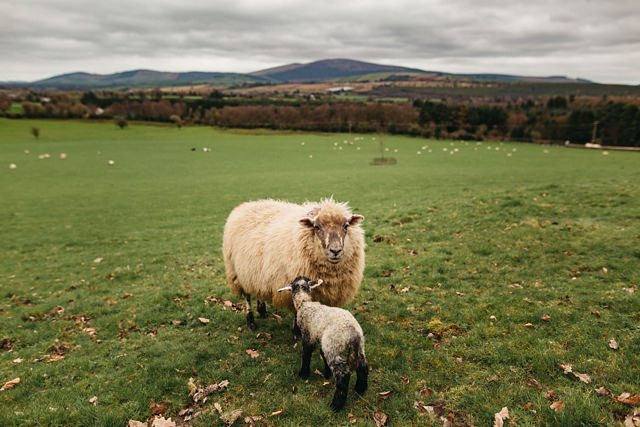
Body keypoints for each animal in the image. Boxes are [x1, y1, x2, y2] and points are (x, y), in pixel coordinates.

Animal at [222, 197, 364, 332]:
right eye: (316, 227)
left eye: (346, 226)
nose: (335, 251)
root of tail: (246, 204)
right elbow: (297, 310)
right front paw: (297, 331)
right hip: (238, 272)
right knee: (247, 296)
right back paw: (251, 321)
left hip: (255, 271)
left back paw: (262, 311)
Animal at [276, 276, 370, 412]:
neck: (304, 302)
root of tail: (353, 332)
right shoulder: (320, 338)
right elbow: (321, 354)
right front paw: (327, 374)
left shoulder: (307, 336)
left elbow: (306, 355)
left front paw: (303, 374)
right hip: (357, 346)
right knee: (363, 366)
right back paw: (360, 389)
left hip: (333, 345)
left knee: (343, 374)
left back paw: (336, 405)